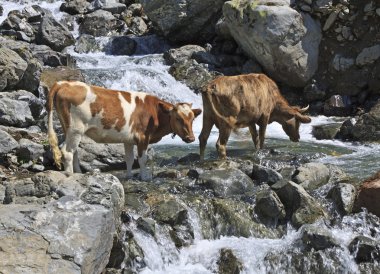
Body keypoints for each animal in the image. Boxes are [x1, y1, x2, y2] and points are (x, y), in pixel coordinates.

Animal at [46, 80, 202, 181]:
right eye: (178, 118)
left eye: (192, 119)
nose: (191, 138)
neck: (154, 112)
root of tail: (64, 83)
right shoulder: (143, 137)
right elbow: (142, 159)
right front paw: (144, 177)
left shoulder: (129, 139)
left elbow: (129, 158)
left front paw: (129, 176)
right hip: (76, 128)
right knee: (67, 151)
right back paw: (70, 175)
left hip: (69, 129)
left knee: (74, 152)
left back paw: (78, 173)